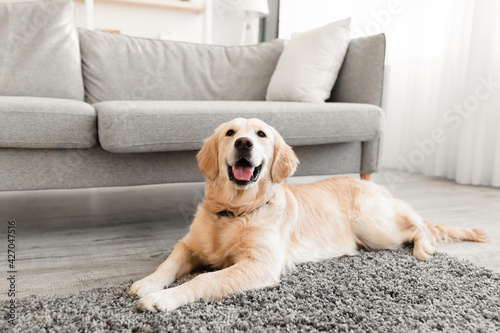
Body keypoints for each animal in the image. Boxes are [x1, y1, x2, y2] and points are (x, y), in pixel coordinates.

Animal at [128, 117, 488, 312]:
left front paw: (163, 299)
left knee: (417, 226)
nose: (244, 143)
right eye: (230, 133)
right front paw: (147, 283)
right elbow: (168, 263)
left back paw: (424, 249)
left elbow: (204, 278)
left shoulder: (260, 263)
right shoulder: (189, 245)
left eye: (261, 135)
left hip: (373, 226)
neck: (236, 210)